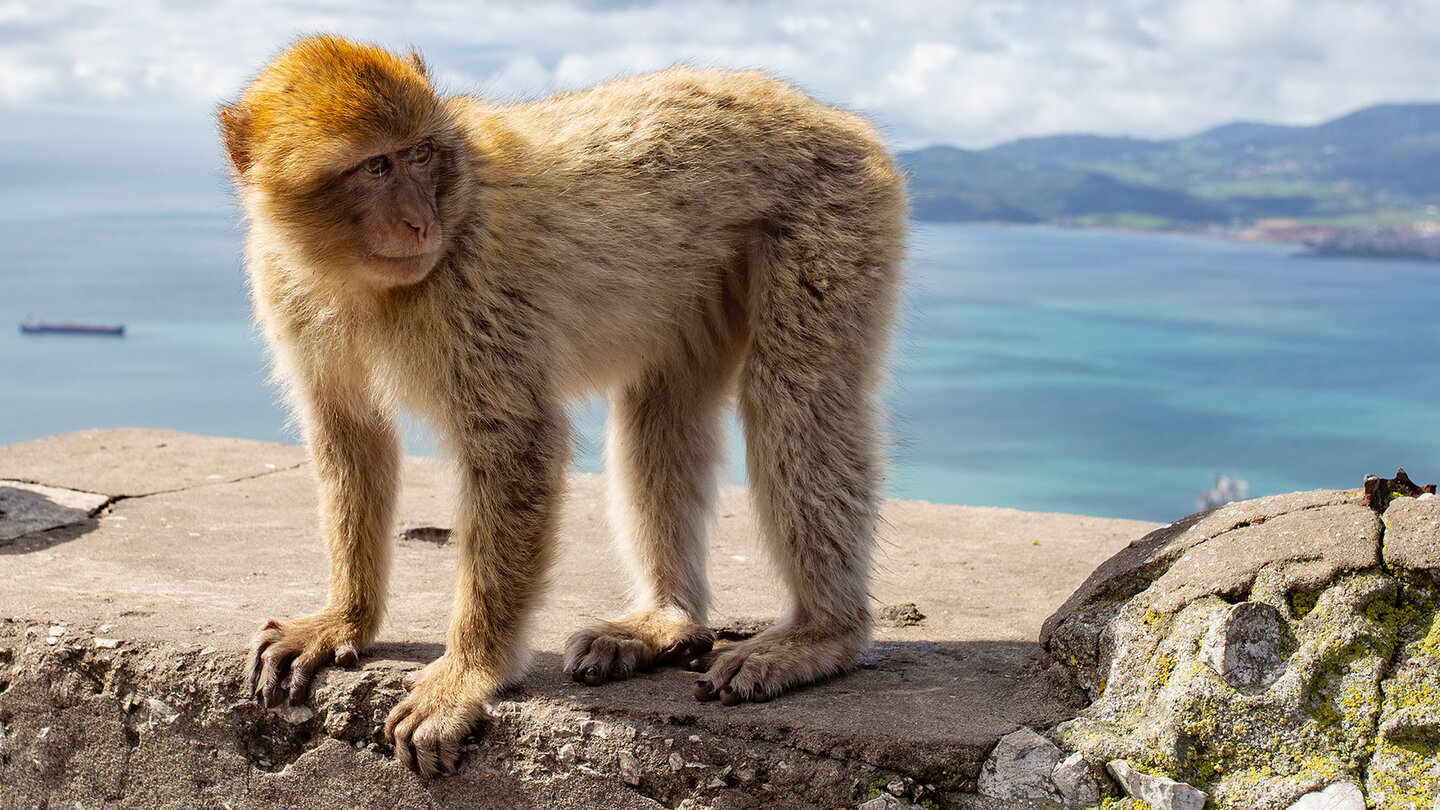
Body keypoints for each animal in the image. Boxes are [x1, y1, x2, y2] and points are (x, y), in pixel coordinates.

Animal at [216, 36, 898, 778]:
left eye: (420, 153)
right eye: (375, 166)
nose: (420, 221)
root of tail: (833, 118)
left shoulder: (476, 282)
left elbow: (516, 441)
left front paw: (468, 675)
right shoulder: (284, 283)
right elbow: (350, 435)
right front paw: (345, 618)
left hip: (830, 216)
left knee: (794, 395)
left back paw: (819, 635)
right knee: (663, 406)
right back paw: (665, 620)